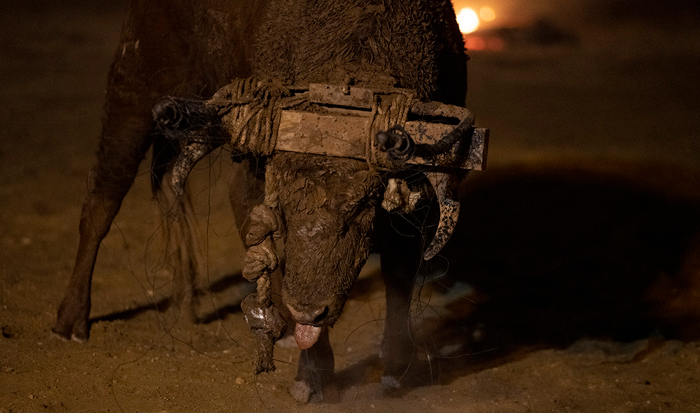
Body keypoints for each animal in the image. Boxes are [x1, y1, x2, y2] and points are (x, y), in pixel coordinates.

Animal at [53, 0, 482, 400]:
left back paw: (187, 300)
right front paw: (311, 375)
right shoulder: (250, 185)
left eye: (361, 206)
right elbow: (276, 264)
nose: (309, 309)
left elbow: (399, 273)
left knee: (168, 183)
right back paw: (71, 321)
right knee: (102, 201)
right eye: (286, 209)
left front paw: (395, 367)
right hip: (134, 85)